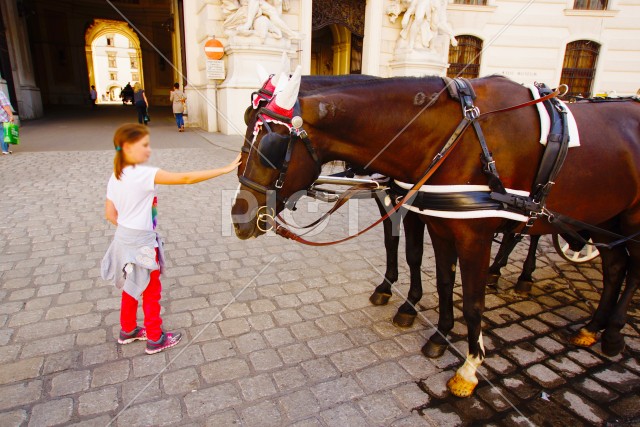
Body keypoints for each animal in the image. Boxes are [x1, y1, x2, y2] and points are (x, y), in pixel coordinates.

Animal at [232, 70, 640, 398]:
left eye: (270, 146)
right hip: (607, 218)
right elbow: (438, 276)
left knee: (622, 267)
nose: (239, 219)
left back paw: (610, 330)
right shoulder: (430, 218)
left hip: (629, 221)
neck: (457, 137)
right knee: (614, 267)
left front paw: (469, 368)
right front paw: (435, 330)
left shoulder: (470, 235)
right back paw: (593, 326)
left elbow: (470, 298)